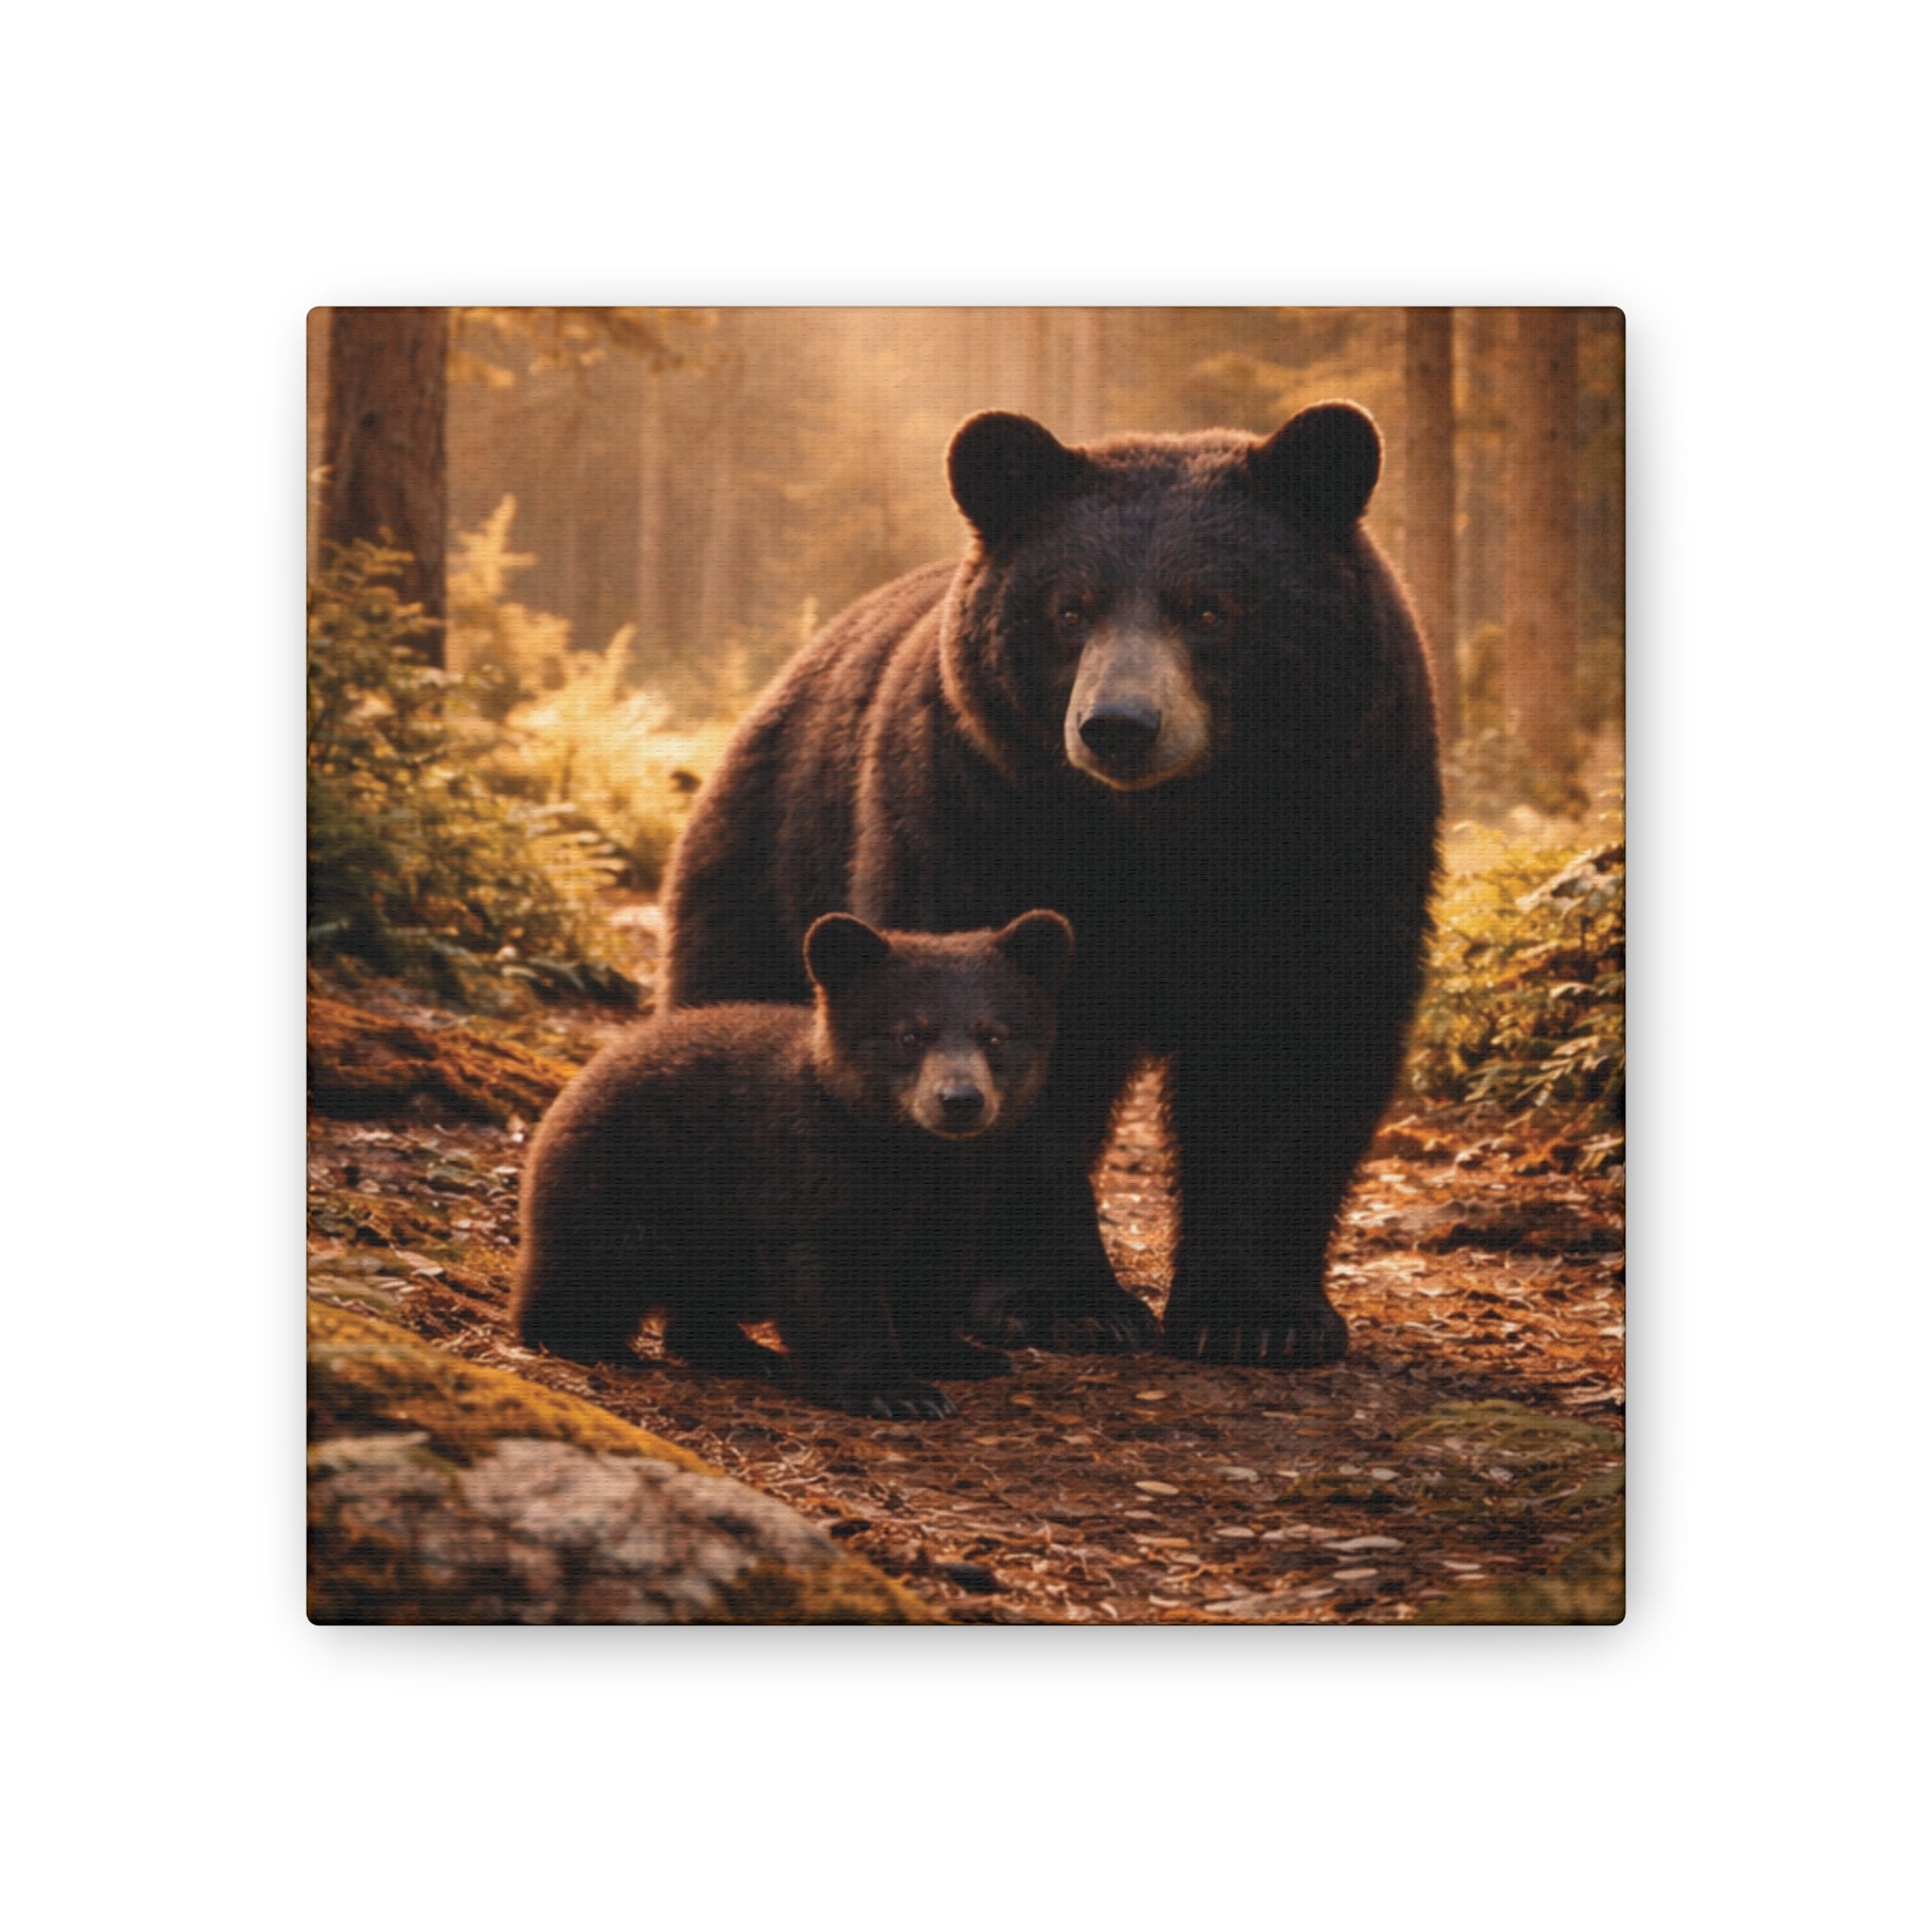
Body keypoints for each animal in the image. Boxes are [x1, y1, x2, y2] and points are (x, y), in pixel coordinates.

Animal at [511, 909, 1075, 1417]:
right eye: (910, 1034)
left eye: (994, 1035)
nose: (959, 1100)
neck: (904, 1151)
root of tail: (583, 1075)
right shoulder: (807, 1171)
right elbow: (828, 1279)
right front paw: (896, 1391)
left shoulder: (956, 1190)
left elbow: (930, 1269)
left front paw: (960, 1354)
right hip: (630, 1181)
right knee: (593, 1266)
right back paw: (587, 1340)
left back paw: (741, 1351)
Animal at [661, 402, 1441, 1368]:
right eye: (1072, 608)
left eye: (1209, 607)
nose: (1119, 726)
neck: (1166, 834)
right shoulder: (983, 816)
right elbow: (1004, 1034)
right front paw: (1065, 1303)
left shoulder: (1342, 833)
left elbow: (1294, 1042)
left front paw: (1260, 1316)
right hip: (772, 860)